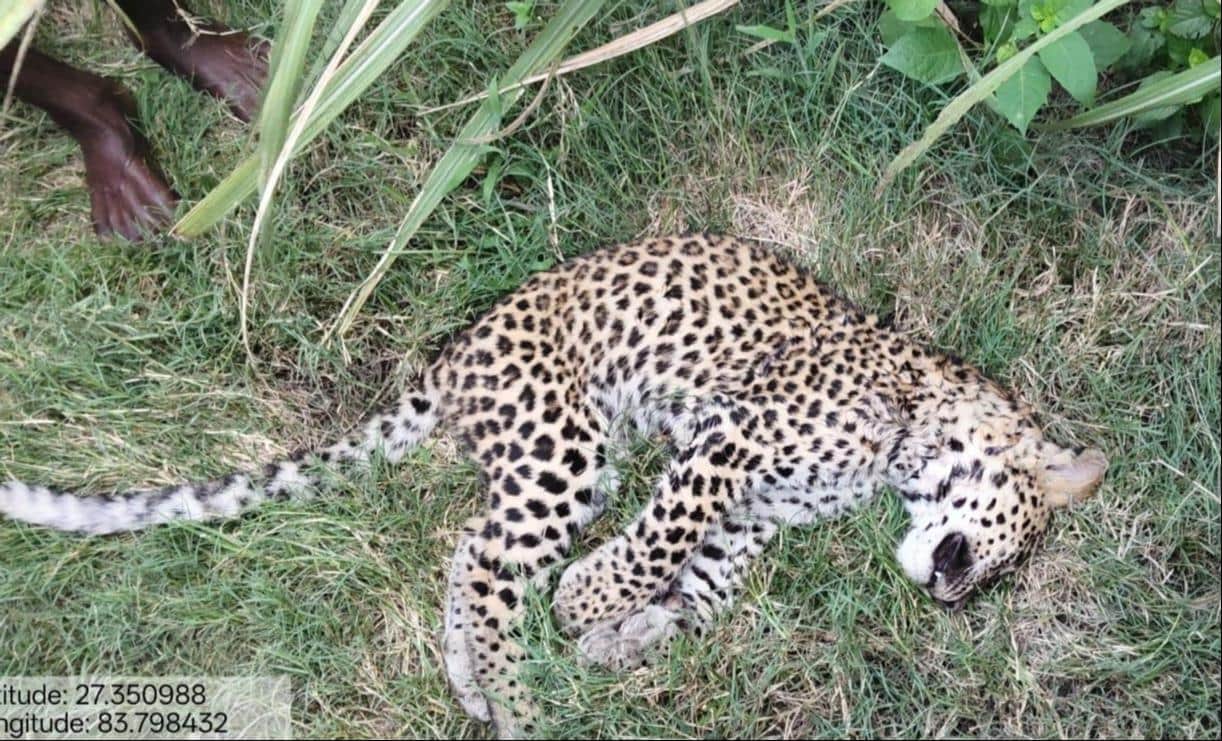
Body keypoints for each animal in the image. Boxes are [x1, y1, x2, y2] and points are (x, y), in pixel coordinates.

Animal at [1, 234, 1108, 737]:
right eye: (1004, 560)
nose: (949, 592)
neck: (911, 435)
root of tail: (453, 358)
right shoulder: (726, 441)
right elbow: (662, 538)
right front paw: (587, 606)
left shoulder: (753, 513)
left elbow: (702, 591)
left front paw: (621, 635)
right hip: (563, 446)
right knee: (497, 568)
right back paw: (524, 701)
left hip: (568, 464)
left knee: (469, 549)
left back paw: (472, 684)